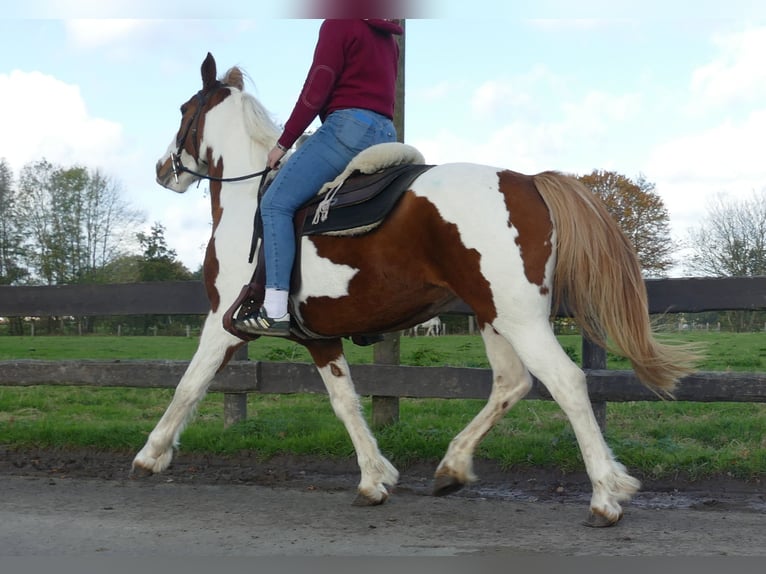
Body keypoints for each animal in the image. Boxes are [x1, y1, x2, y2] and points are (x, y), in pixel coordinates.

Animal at [138, 54, 704, 528]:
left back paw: (605, 496)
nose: (163, 169)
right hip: (494, 314)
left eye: (185, 110)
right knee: (511, 382)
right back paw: (453, 467)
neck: (249, 202)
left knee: (566, 383)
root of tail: (527, 180)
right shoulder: (320, 336)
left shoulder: (223, 323)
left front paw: (151, 455)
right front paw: (374, 479)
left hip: (519, 318)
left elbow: (189, 384)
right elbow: (346, 403)